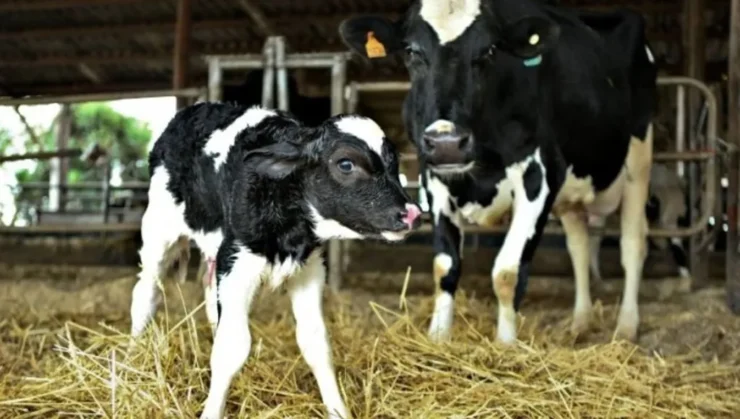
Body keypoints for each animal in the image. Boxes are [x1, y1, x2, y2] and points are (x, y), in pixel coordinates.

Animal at [339, 0, 657, 343]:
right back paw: (579, 323)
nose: (447, 143)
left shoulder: (540, 175)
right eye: (411, 50)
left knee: (632, 245)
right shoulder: (433, 179)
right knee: (579, 245)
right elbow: (445, 266)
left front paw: (505, 344)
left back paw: (626, 327)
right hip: (572, 193)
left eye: (489, 50)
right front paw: (438, 338)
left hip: (639, 161)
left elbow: (507, 271)